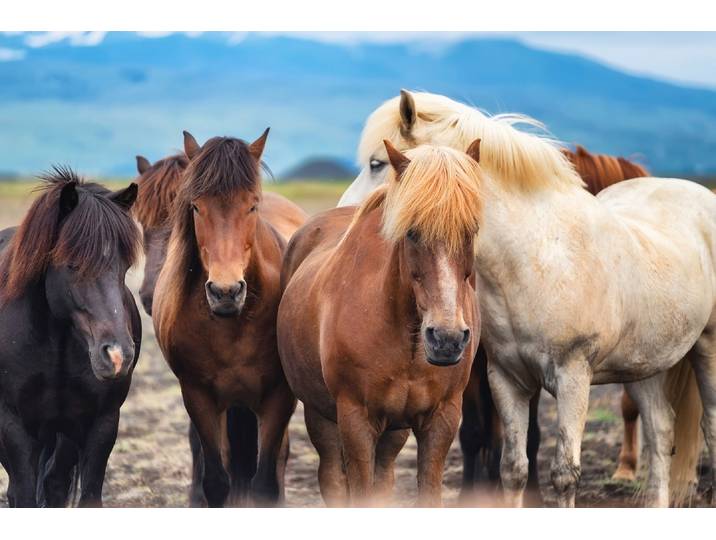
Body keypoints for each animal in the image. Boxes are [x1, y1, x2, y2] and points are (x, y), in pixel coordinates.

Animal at [0, 168, 141, 507]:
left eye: (124, 266)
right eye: (72, 264)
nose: (118, 356)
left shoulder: (101, 425)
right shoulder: (13, 427)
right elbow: (23, 494)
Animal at [152, 130, 306, 507]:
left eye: (252, 205)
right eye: (196, 206)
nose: (225, 291)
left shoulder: (279, 396)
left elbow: (265, 484)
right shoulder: (199, 397)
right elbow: (216, 483)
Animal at [278, 141, 483, 506]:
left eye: (471, 230)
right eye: (412, 232)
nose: (446, 339)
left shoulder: (441, 419)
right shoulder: (356, 419)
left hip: (393, 432)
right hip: (321, 416)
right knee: (332, 478)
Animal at [339, 90, 715, 508]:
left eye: (376, 163)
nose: (344, 216)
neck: (536, 256)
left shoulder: (572, 376)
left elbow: (564, 474)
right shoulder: (506, 378)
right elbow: (513, 468)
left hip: (706, 348)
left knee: (709, 427)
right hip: (644, 365)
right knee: (661, 429)